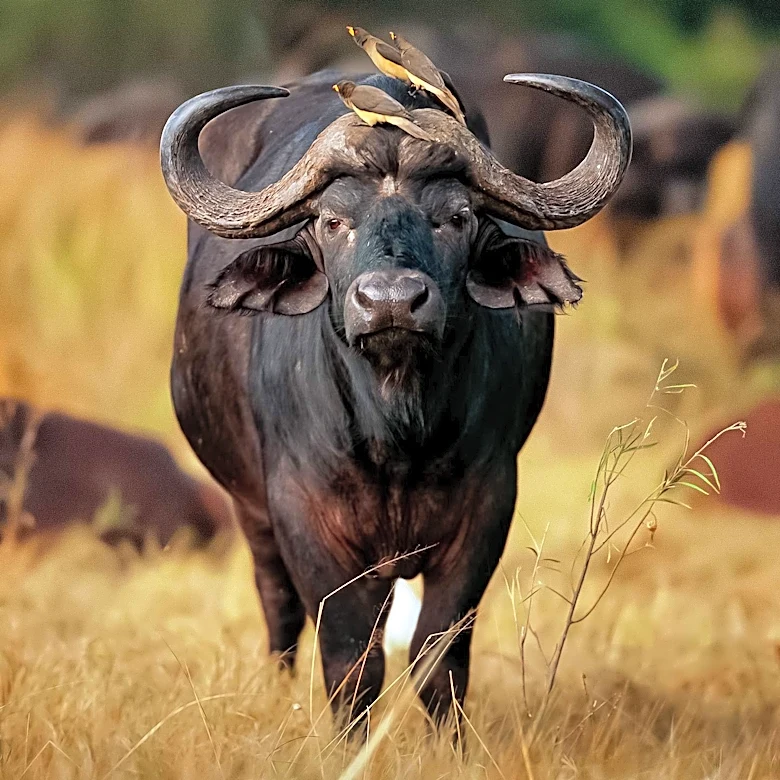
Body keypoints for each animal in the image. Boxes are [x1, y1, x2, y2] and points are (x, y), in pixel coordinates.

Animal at [160, 69, 631, 725]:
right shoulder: (305, 519)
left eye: (456, 217)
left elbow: (438, 658)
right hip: (250, 510)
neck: (397, 429)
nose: (391, 301)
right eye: (333, 221)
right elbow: (352, 661)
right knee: (278, 606)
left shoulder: (486, 510)